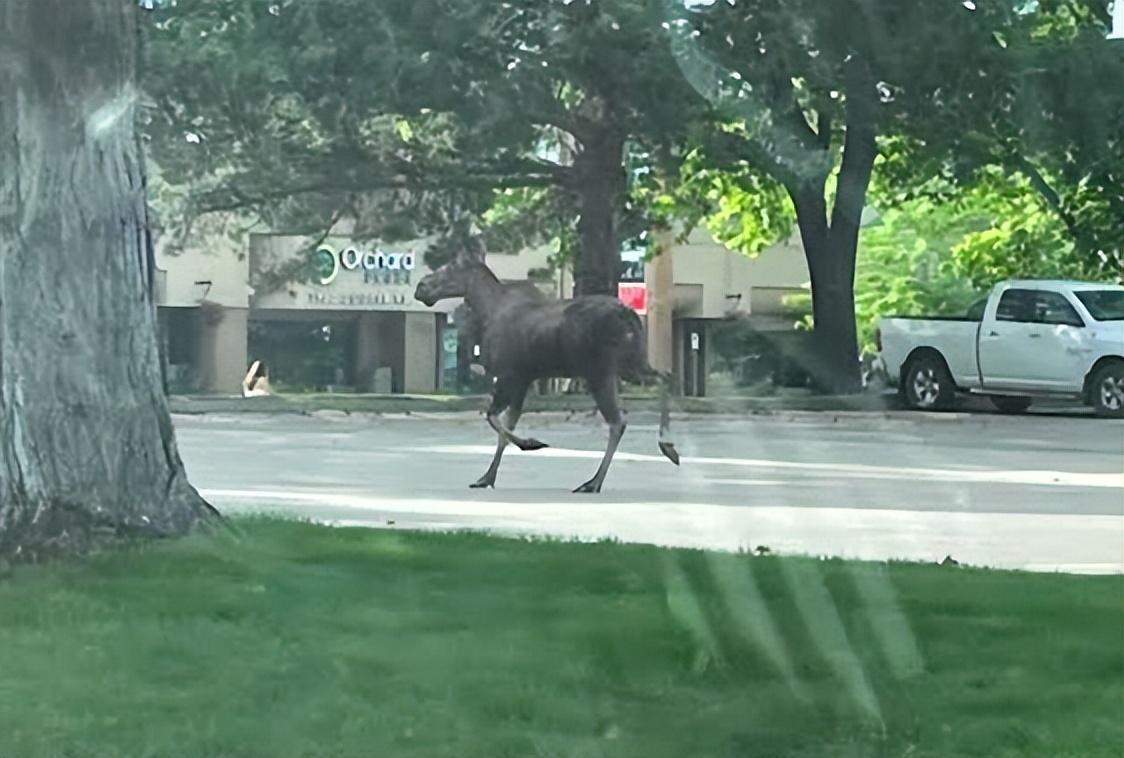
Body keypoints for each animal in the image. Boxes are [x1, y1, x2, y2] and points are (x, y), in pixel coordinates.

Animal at [413, 250, 674, 492]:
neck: (487, 310)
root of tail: (629, 315)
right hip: (631, 364)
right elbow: (505, 427)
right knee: (664, 378)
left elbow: (493, 418)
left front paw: (531, 443)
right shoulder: (523, 379)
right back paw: (667, 446)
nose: (420, 287)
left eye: (451, 267)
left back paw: (594, 482)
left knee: (618, 421)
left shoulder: (509, 375)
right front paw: (487, 477)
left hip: (600, 371)